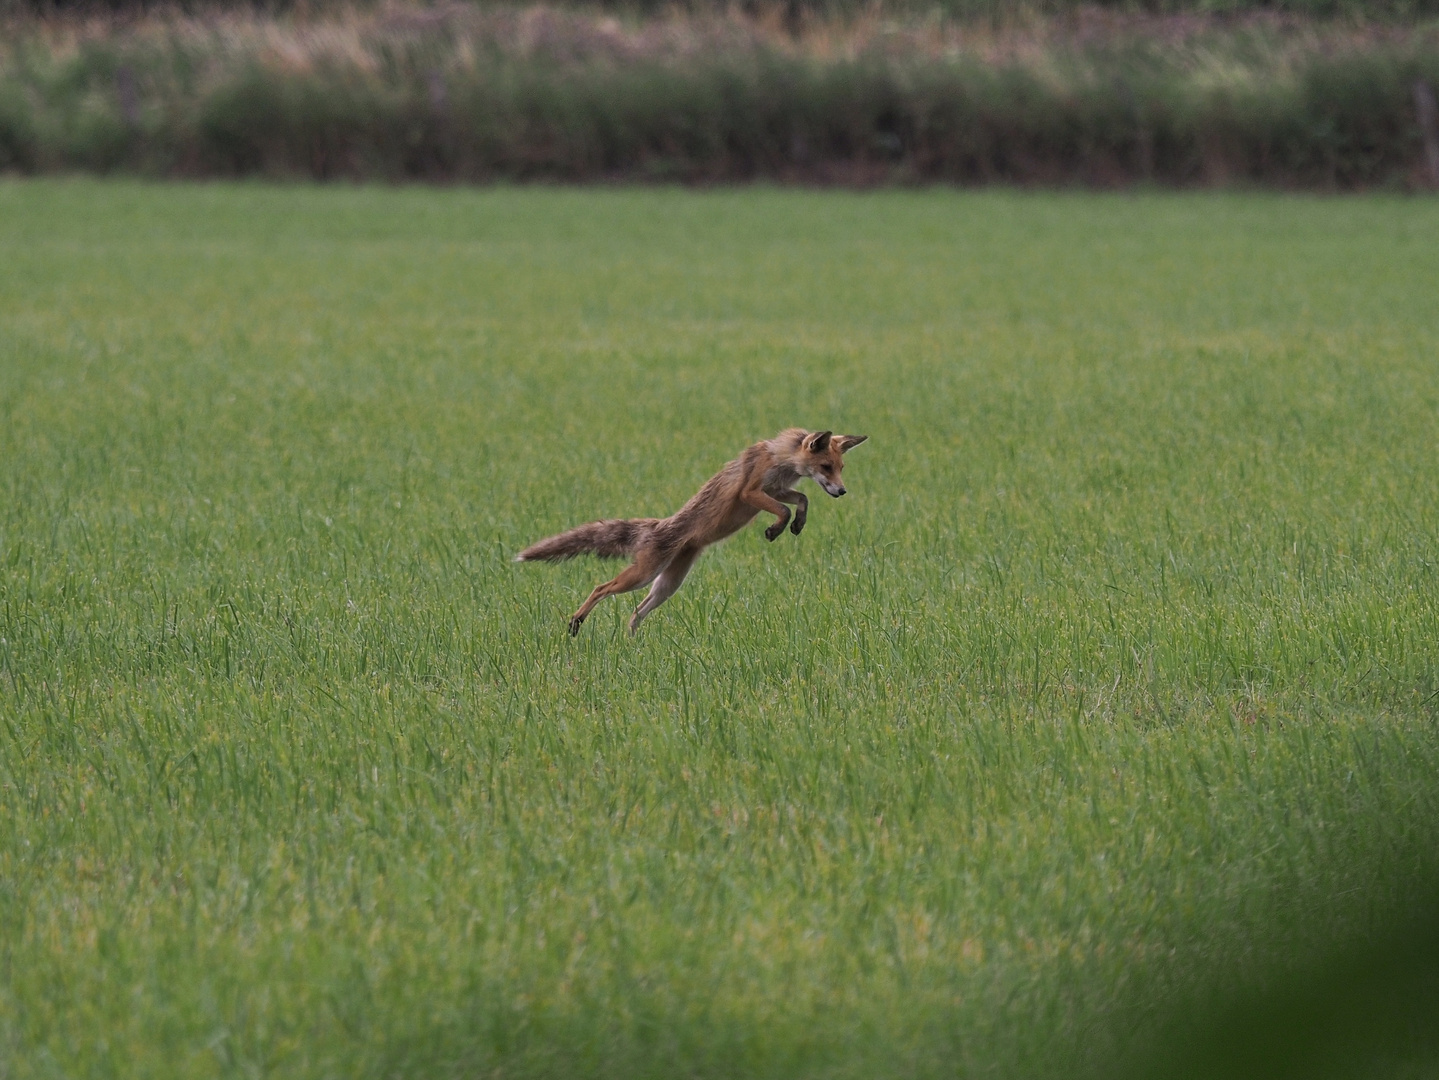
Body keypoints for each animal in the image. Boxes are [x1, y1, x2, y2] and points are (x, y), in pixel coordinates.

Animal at [523, 428, 869, 638]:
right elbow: (783, 509)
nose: (842, 491)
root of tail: (656, 526)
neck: (781, 459)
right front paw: (776, 529)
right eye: (826, 467)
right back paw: (576, 621)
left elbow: (802, 499)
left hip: (667, 584)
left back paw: (632, 644)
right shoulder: (751, 492)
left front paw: (797, 524)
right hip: (643, 575)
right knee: (600, 588)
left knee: (635, 612)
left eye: (840, 468)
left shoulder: (778, 489)